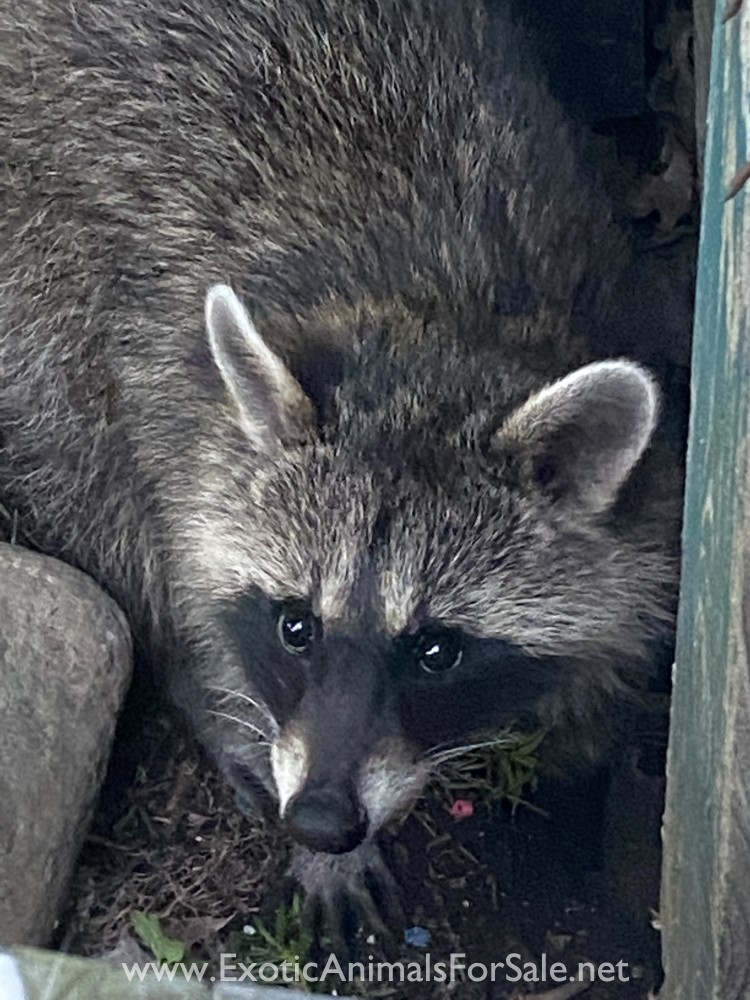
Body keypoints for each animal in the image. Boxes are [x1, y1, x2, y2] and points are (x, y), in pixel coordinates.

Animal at [0, 0, 678, 918]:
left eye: (437, 651)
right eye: (296, 627)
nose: (320, 819)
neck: (433, 313)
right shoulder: (167, 382)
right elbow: (174, 548)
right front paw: (221, 697)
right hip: (34, 267)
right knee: (84, 456)